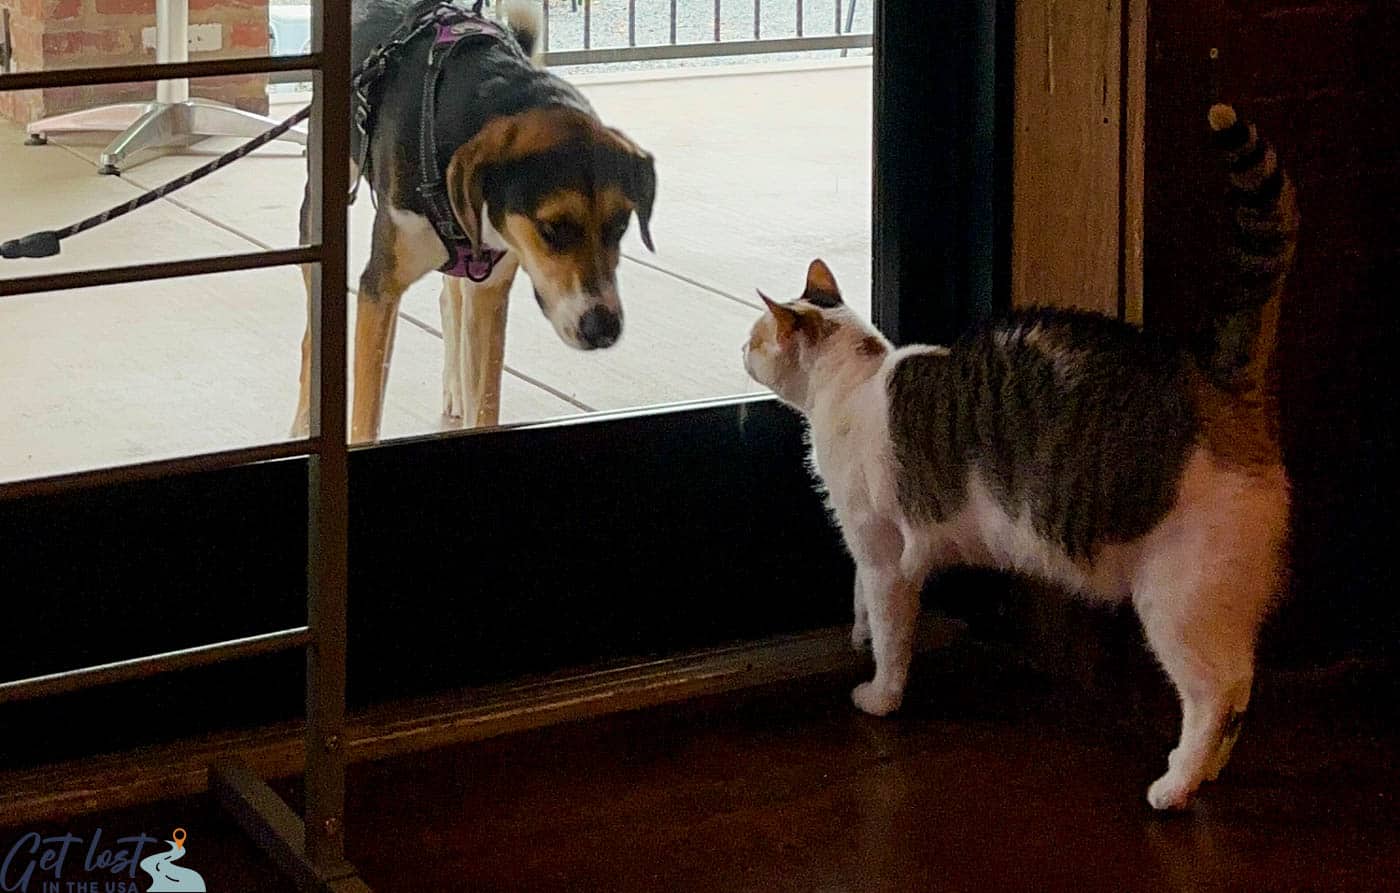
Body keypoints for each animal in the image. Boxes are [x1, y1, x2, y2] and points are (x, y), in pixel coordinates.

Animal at [291, 0, 660, 445]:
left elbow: (484, 400)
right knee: (310, 336)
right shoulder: (379, 290)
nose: (603, 329)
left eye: (621, 225)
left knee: (451, 298)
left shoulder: (492, 288)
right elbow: (366, 418)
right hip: (315, 213)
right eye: (551, 228)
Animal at [744, 103, 1299, 811]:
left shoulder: (886, 552)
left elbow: (894, 635)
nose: (742, 349)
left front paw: (880, 696)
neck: (855, 379)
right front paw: (858, 634)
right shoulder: (866, 551)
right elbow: (862, 600)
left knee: (1217, 691)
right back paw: (1207, 772)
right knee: (1244, 684)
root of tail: (1212, 378)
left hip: (1177, 599)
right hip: (1224, 597)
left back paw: (1175, 784)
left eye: (757, 336)